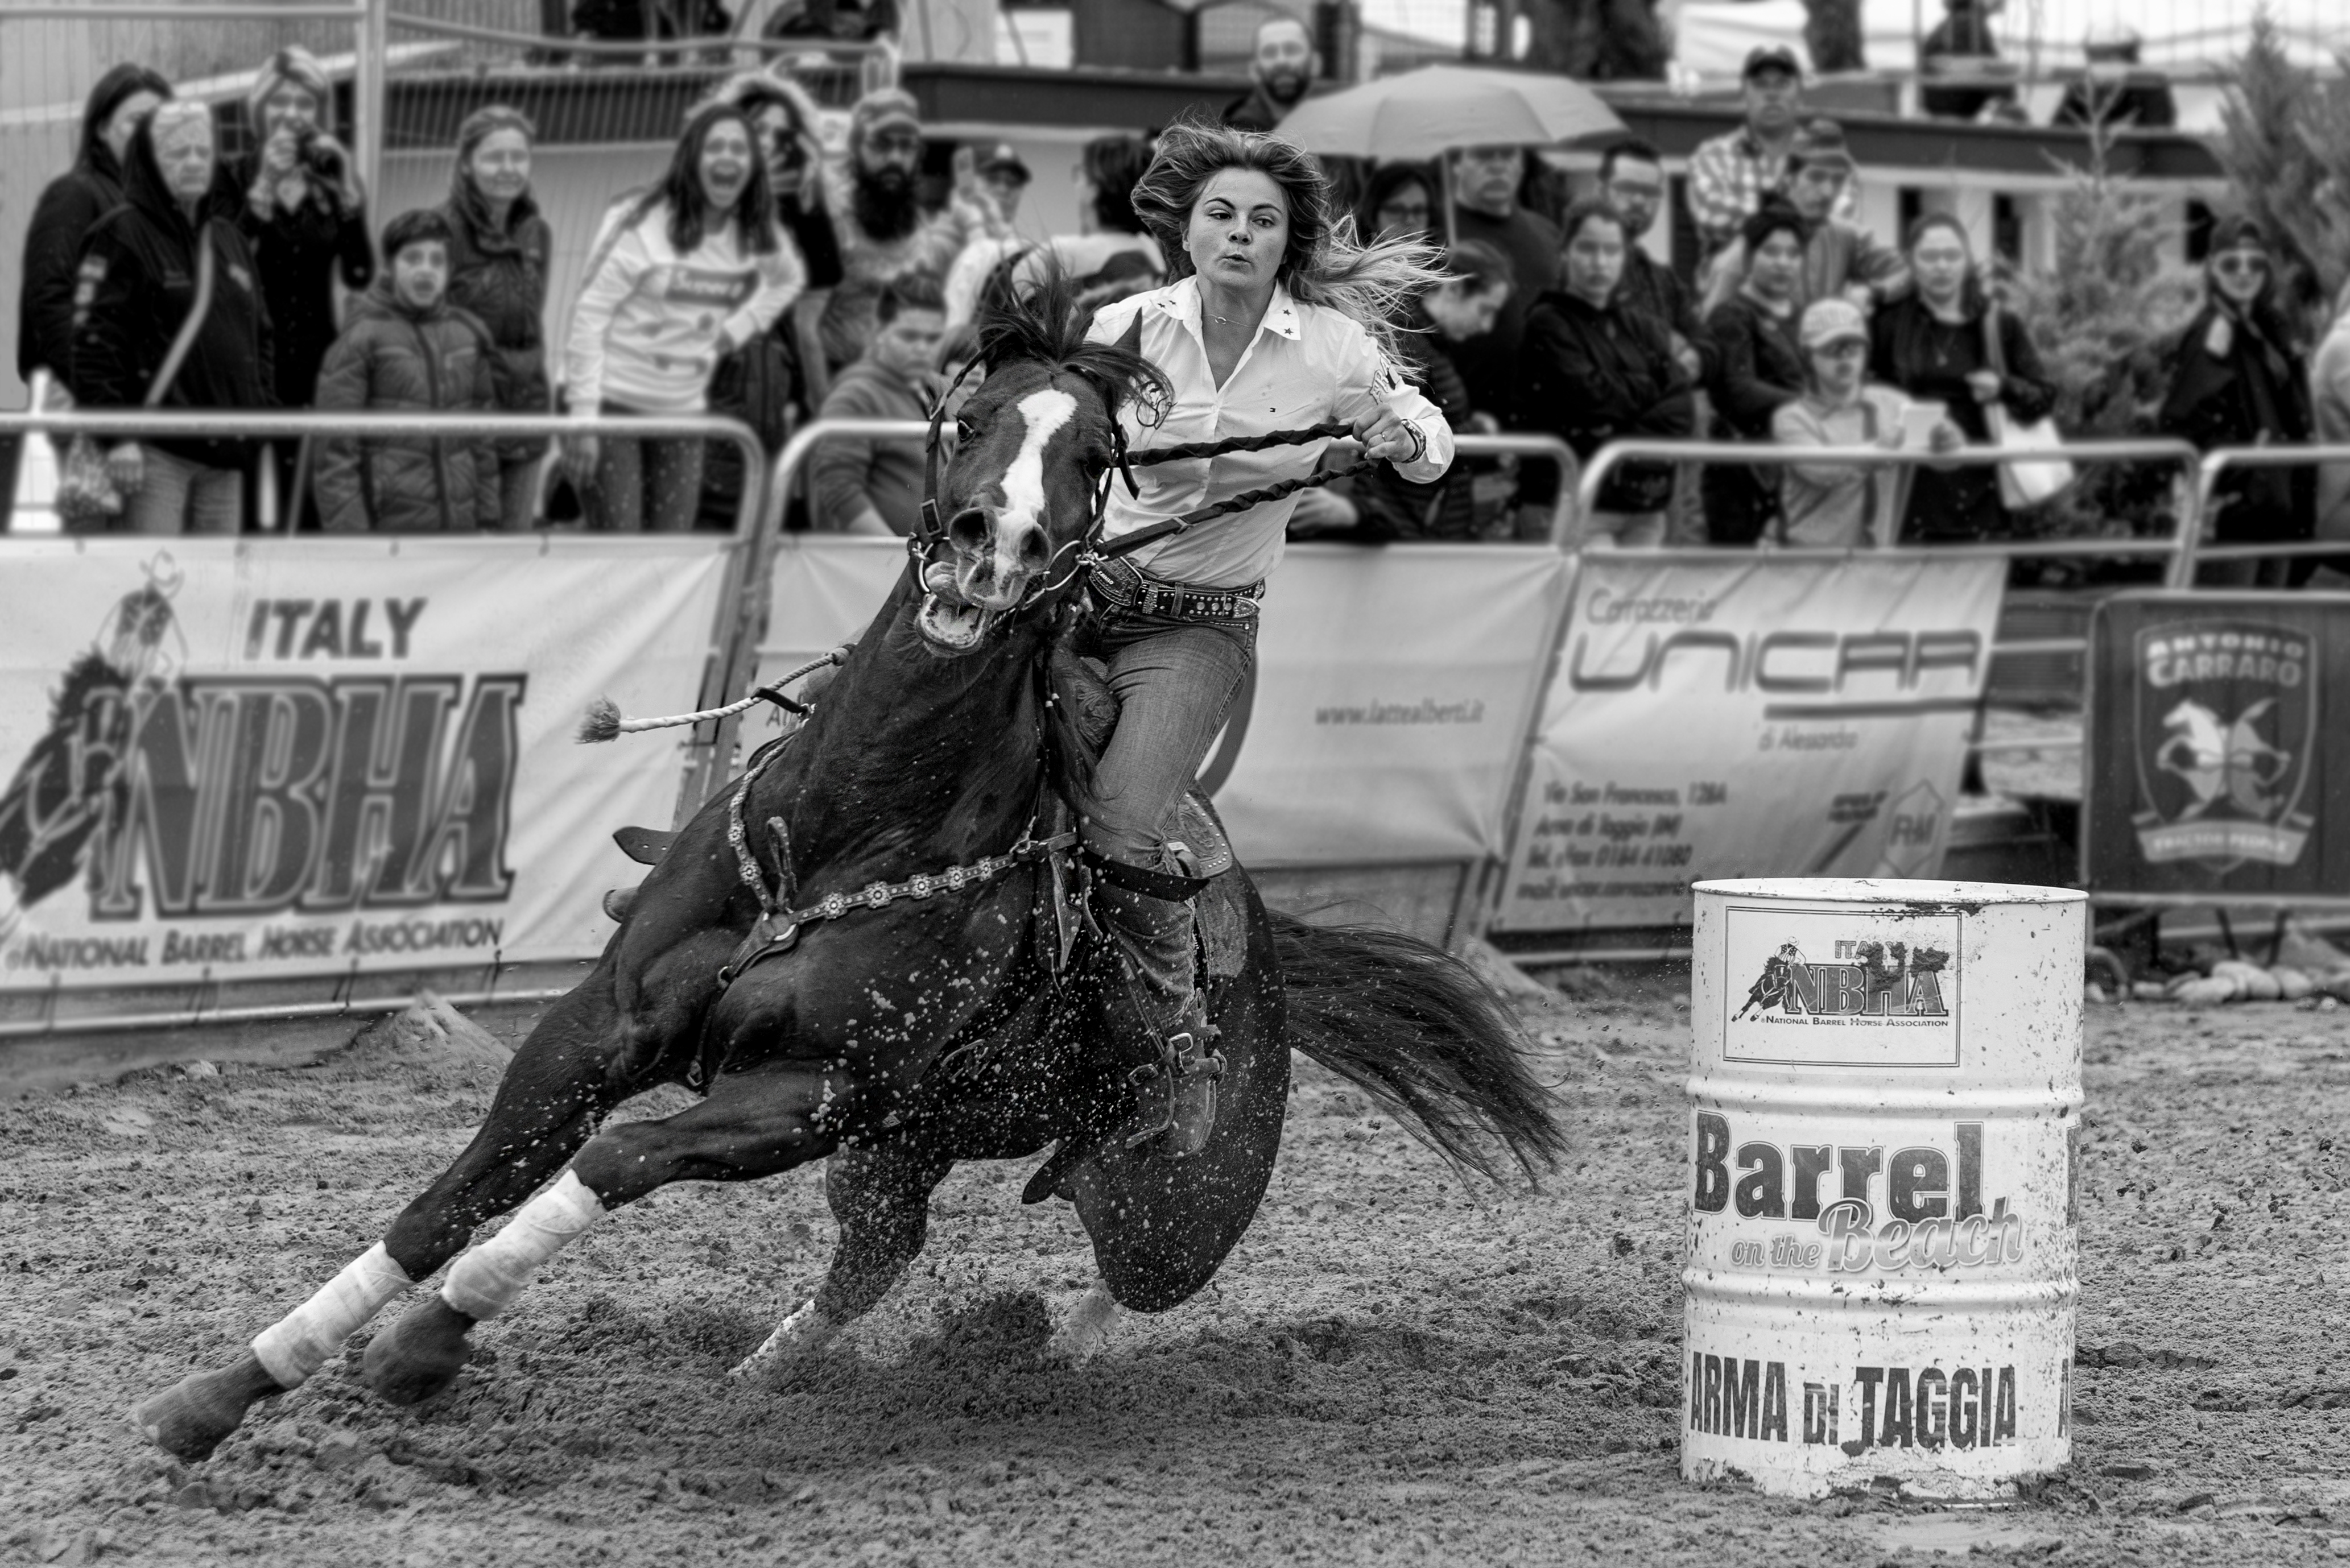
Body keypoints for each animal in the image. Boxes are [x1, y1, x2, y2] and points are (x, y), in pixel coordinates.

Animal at [129, 276, 1560, 1467]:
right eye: (969, 417)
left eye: (1096, 457)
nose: (992, 546)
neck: (851, 824)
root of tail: (1264, 952)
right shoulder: (602, 1023)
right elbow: (450, 1198)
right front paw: (227, 1390)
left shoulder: (807, 1089)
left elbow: (615, 1159)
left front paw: (426, 1342)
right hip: (900, 1148)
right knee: (880, 1249)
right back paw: (763, 1383)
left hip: (1158, 1189)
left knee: (1132, 1274)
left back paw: (1043, 1354)